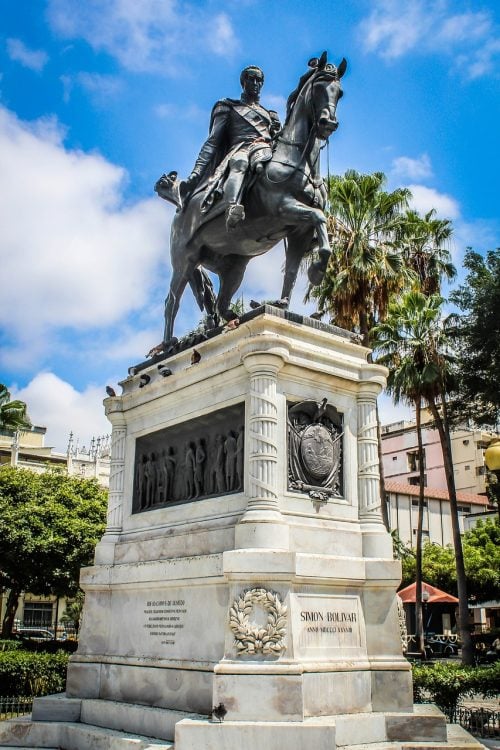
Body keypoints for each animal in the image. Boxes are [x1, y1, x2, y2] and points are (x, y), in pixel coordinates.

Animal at [155, 53, 344, 352]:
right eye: (318, 88)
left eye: (339, 92)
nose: (329, 123)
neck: (297, 162)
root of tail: (180, 211)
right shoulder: (284, 208)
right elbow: (319, 217)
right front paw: (316, 271)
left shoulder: (299, 232)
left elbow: (294, 267)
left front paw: (283, 302)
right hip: (185, 259)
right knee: (171, 302)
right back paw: (168, 344)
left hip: (234, 266)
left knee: (220, 304)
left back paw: (233, 317)